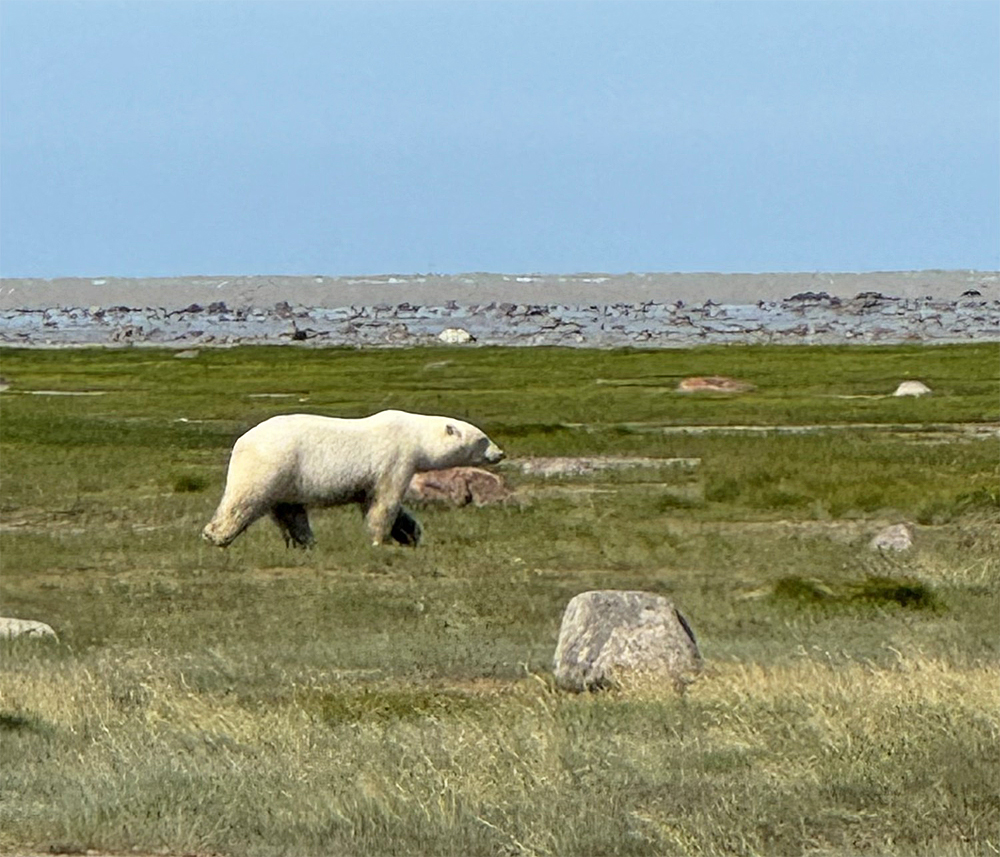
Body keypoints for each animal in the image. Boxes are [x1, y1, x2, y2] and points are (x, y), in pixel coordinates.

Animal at [202, 410, 504, 549]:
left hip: (287, 478)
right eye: (483, 439)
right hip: (272, 465)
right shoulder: (395, 458)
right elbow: (385, 503)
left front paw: (411, 534)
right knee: (245, 501)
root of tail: (241, 441)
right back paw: (215, 536)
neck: (414, 434)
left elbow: (375, 502)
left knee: (290, 510)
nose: (500, 452)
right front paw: (380, 540)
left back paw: (306, 543)